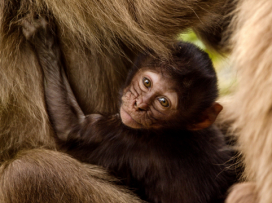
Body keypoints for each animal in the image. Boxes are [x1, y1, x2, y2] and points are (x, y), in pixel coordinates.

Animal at [22, 17, 236, 203]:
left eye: (163, 102)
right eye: (147, 83)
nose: (139, 105)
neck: (174, 130)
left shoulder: (122, 137)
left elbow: (71, 128)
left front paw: (44, 42)